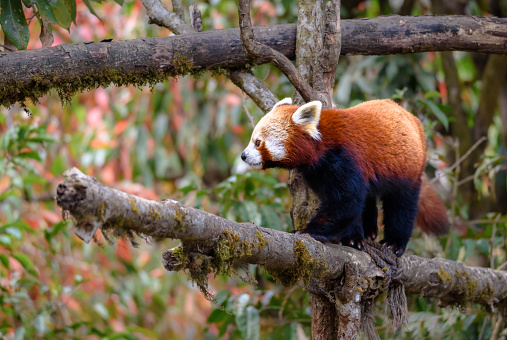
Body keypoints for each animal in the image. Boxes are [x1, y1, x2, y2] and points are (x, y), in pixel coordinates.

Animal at [242, 97, 448, 255]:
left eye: (258, 142)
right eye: (252, 140)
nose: (243, 155)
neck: (321, 146)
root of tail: (412, 119)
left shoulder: (345, 159)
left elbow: (345, 202)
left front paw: (308, 231)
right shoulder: (318, 173)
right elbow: (348, 205)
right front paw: (352, 237)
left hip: (407, 169)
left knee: (402, 204)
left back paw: (394, 242)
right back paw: (369, 228)